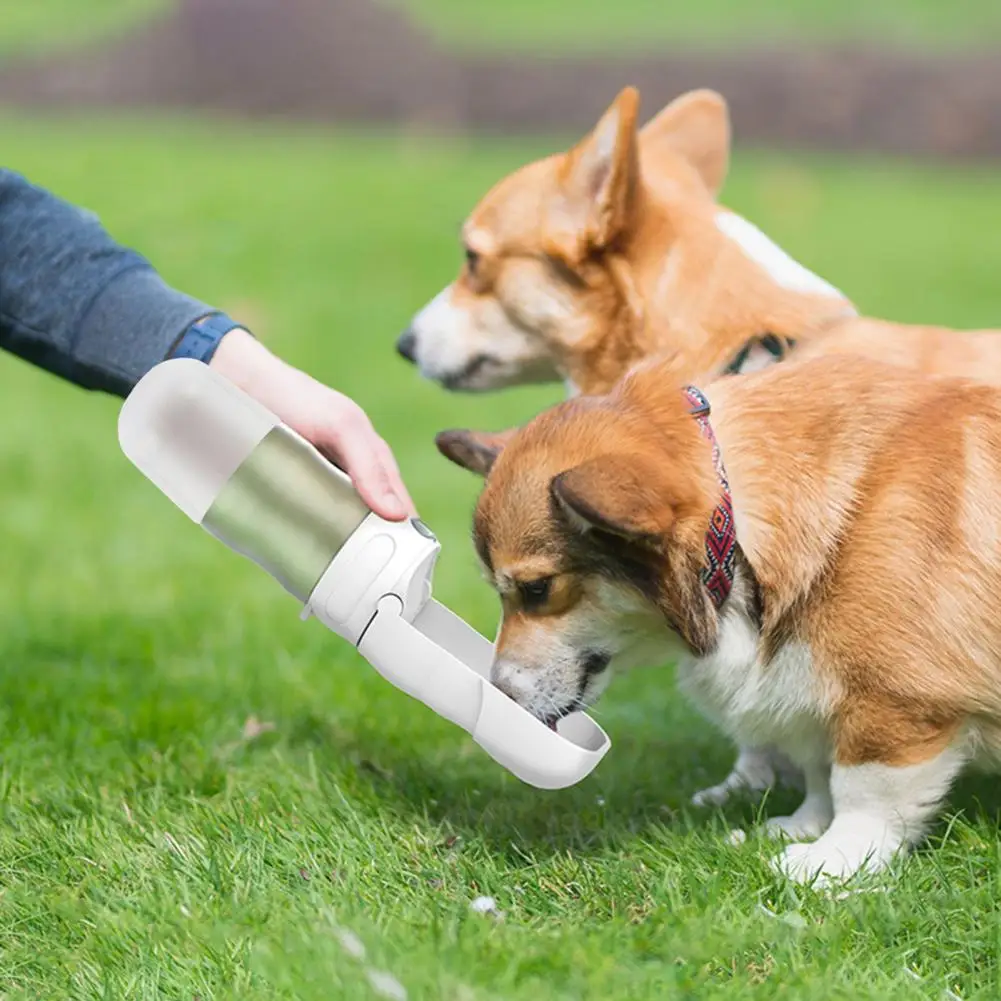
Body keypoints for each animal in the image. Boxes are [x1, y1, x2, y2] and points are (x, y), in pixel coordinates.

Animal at [436, 352, 1001, 884]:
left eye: (536, 590)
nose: (501, 694)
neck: (736, 528)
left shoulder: (893, 702)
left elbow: (863, 790)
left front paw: (830, 862)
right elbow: (819, 770)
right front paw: (802, 825)